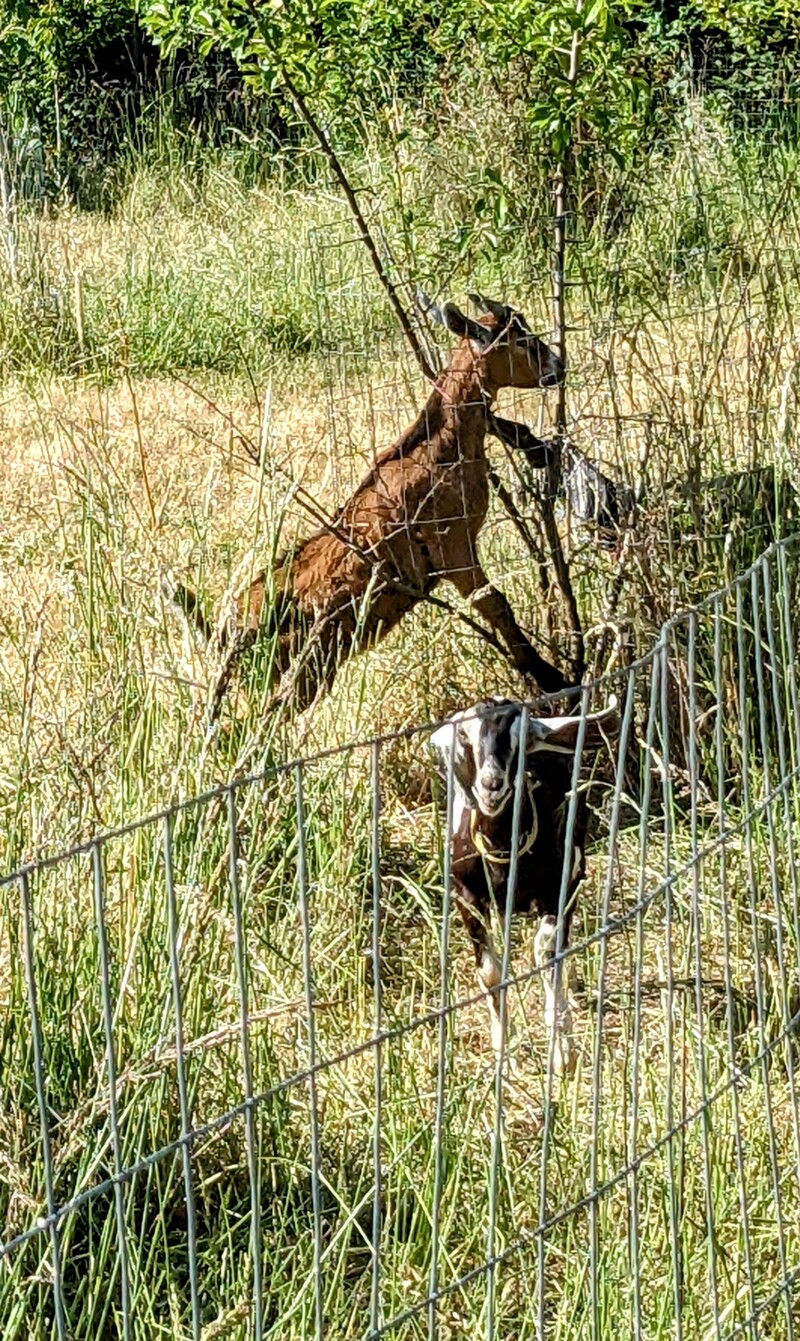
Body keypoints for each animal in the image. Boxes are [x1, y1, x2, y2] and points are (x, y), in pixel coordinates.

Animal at [168, 292, 568, 713]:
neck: (442, 446)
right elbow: (494, 603)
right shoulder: (451, 543)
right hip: (308, 666)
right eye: (521, 340)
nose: (558, 368)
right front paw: (551, 677)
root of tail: (221, 633)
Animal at [434, 697, 613, 1072]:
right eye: (466, 738)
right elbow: (491, 972)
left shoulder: (558, 888)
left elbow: (547, 950)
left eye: (521, 741)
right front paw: (502, 1050)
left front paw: (563, 1052)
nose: (492, 784)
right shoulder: (466, 894)